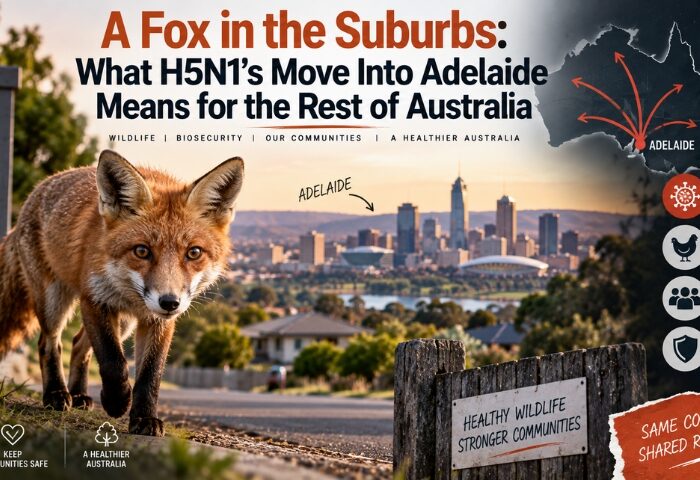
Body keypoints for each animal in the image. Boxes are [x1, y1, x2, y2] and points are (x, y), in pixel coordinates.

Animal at [0, 150, 244, 436]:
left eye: (194, 252)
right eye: (142, 251)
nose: (169, 302)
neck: (130, 296)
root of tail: (37, 189)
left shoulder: (158, 321)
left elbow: (150, 374)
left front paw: (145, 418)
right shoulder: (95, 300)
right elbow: (112, 361)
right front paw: (117, 401)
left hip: (123, 322)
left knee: (78, 344)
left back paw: (79, 394)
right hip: (53, 300)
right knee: (49, 343)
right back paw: (56, 395)